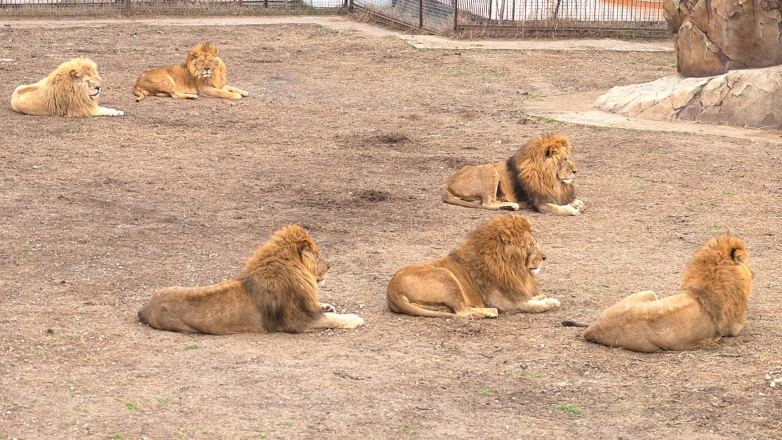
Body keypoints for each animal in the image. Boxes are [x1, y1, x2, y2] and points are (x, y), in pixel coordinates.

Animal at [138, 225, 364, 336]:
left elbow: (325, 311)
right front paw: (355, 318)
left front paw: (327, 306)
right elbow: (333, 320)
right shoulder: (299, 322)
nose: (330, 266)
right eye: (317, 257)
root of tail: (144, 308)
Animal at [384, 215, 556, 318]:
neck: (514, 269)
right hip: (446, 275)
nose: (545, 257)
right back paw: (490, 312)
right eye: (532, 244)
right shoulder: (505, 303)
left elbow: (530, 297)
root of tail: (392, 290)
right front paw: (551, 302)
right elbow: (531, 305)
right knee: (463, 311)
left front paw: (540, 296)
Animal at [444, 134, 584, 217]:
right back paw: (512, 205)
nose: (575, 171)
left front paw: (577, 203)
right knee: (487, 203)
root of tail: (447, 184)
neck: (553, 180)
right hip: (490, 170)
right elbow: (559, 208)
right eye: (565, 160)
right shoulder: (541, 203)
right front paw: (572, 209)